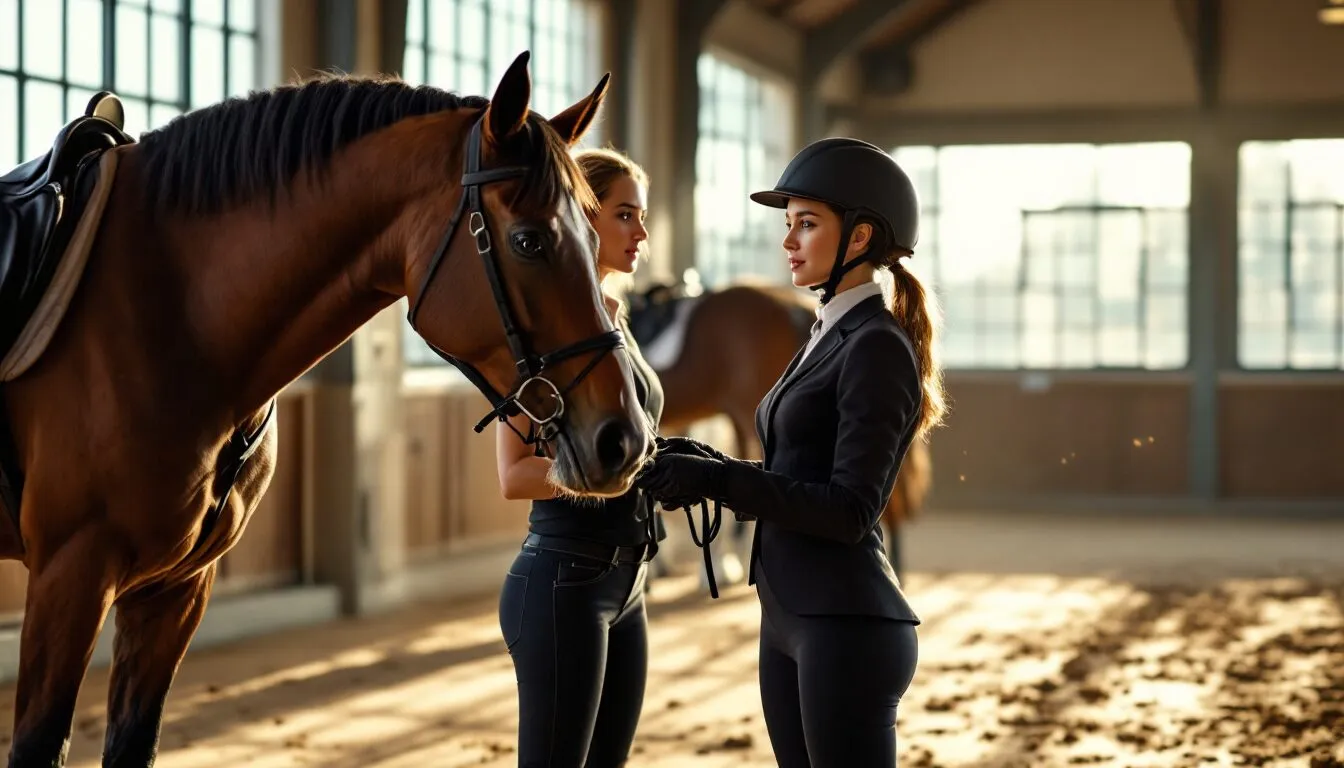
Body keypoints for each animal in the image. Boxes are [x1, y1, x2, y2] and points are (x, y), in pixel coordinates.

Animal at [0, 51, 651, 767]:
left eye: (595, 235)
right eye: (530, 241)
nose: (624, 441)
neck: (164, 308)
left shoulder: (175, 588)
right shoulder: (70, 577)